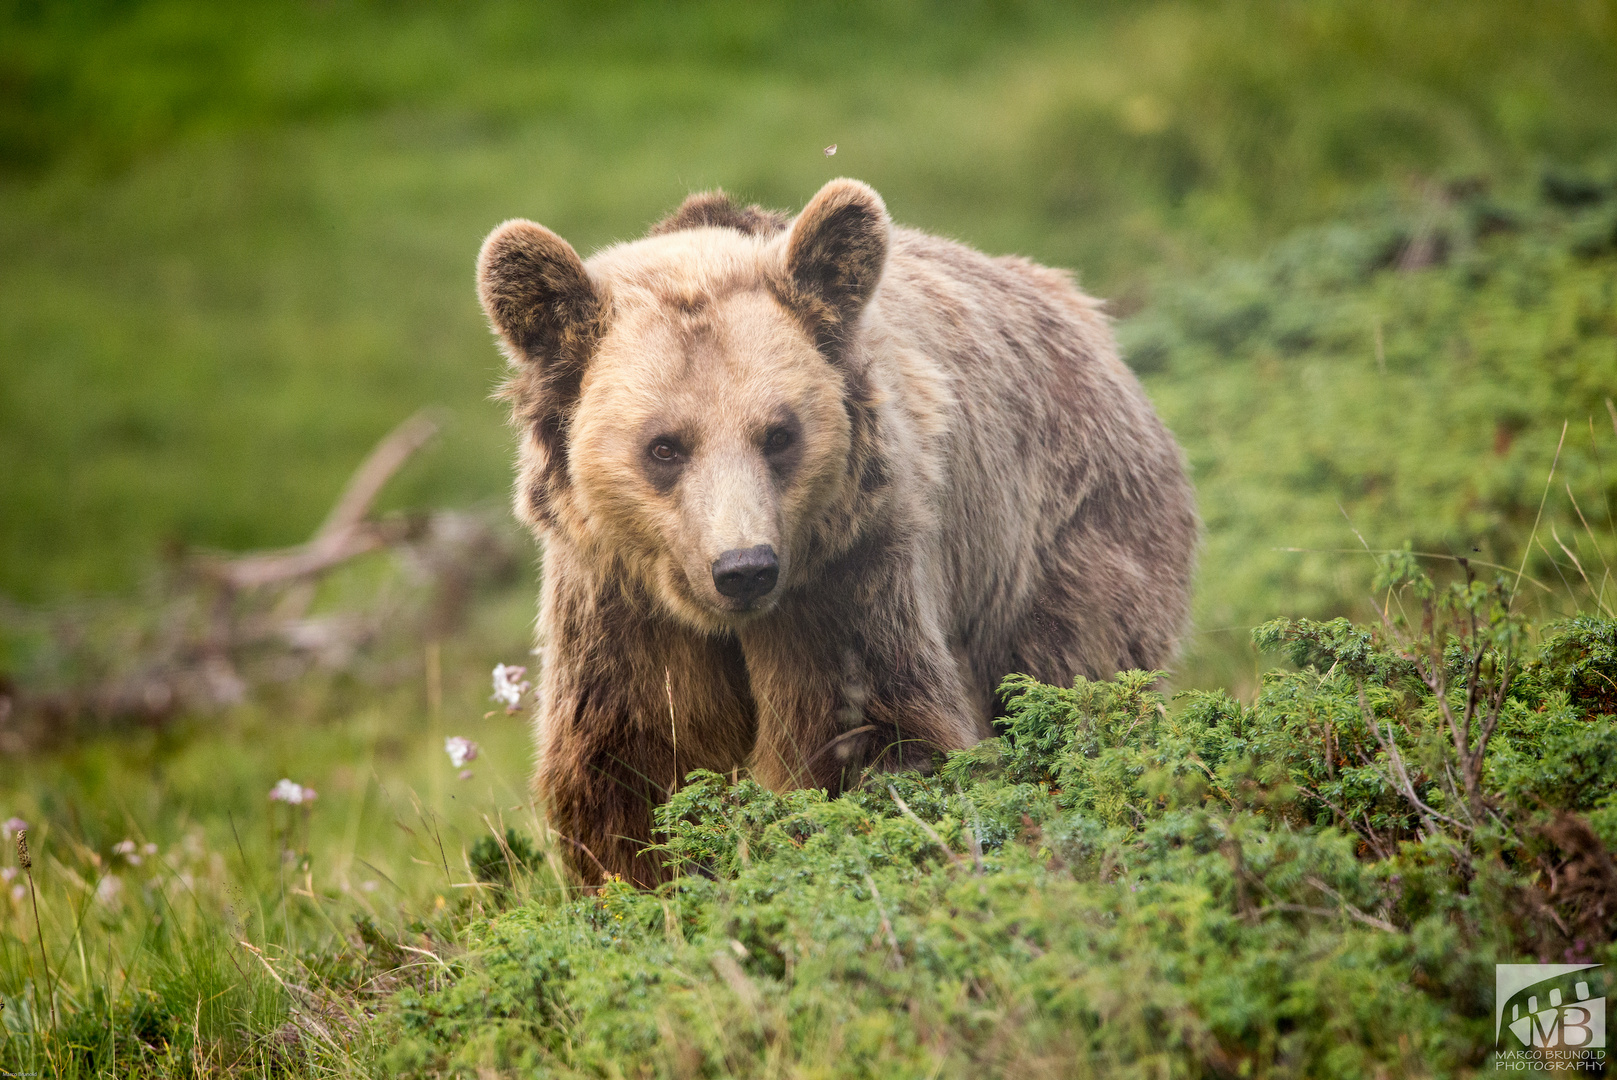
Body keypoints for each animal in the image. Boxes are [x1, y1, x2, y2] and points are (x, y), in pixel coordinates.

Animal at [472, 179, 1196, 885]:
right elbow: (632, 768)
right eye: (664, 447)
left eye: (778, 434)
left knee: (1069, 679)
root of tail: (1088, 320)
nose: (744, 568)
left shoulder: (847, 577)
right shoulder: (619, 604)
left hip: (1059, 538)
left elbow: (863, 732)